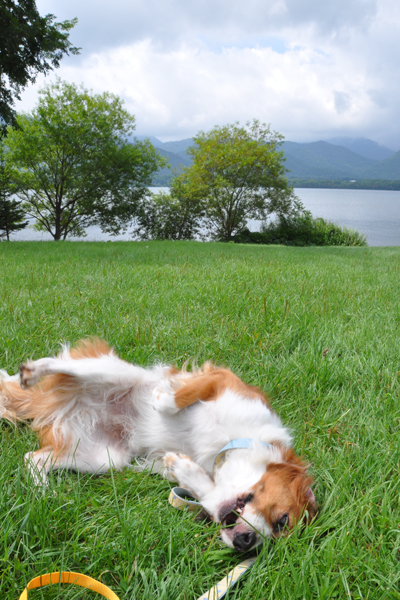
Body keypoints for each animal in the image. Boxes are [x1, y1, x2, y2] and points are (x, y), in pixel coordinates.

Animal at [1, 340, 318, 552]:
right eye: (283, 520)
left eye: (277, 532)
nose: (246, 542)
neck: (230, 442)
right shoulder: (222, 380)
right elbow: (183, 394)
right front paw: (162, 399)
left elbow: (208, 493)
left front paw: (182, 467)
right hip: (114, 373)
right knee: (64, 363)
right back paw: (31, 371)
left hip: (102, 458)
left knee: (33, 458)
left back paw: (44, 491)